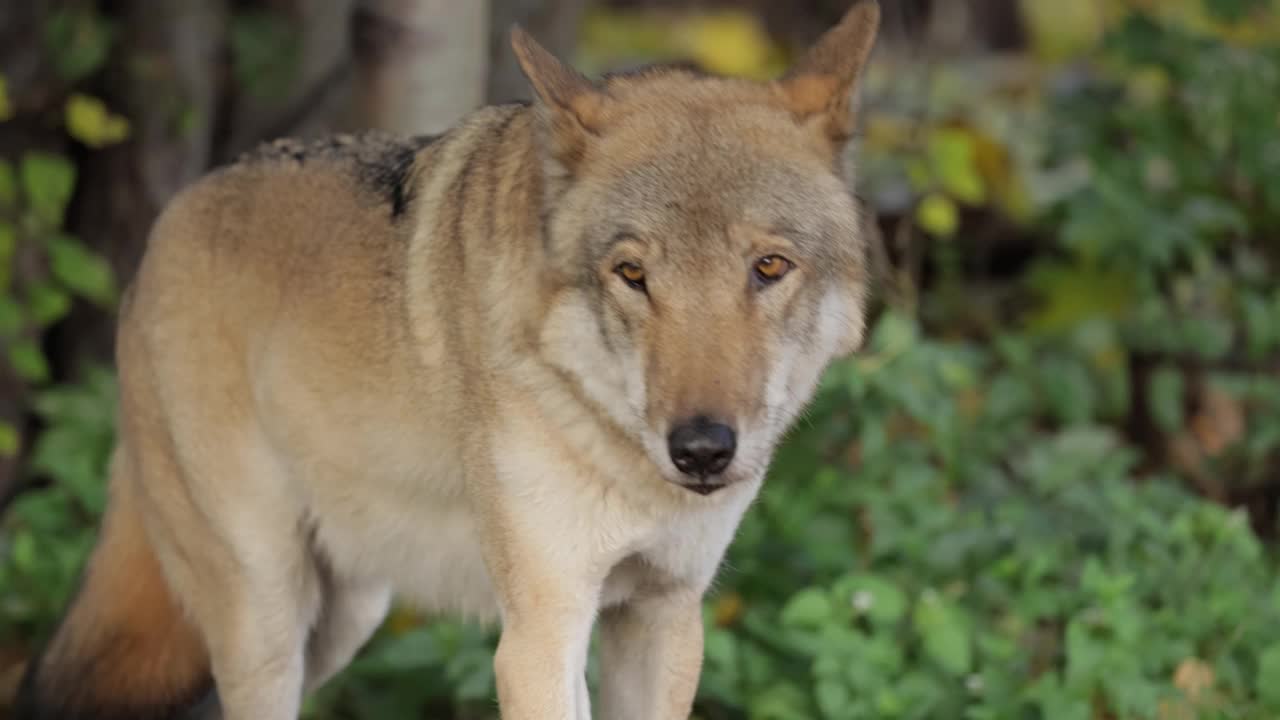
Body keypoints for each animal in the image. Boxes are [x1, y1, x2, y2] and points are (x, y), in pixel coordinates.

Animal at [15, 2, 885, 712]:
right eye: (633, 274)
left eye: (768, 267)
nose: (702, 450)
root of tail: (165, 226)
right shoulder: (539, 634)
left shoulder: (663, 617)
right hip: (266, 622)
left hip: (343, 619)